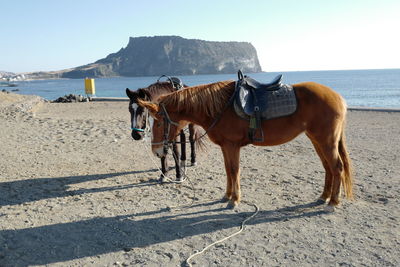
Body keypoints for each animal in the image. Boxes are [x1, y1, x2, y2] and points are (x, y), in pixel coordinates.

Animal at [138, 77, 354, 211]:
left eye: (158, 122)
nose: (157, 151)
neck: (220, 107)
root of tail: (338, 97)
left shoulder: (232, 146)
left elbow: (234, 171)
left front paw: (235, 200)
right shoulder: (226, 147)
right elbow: (228, 170)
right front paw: (227, 196)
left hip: (326, 141)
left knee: (337, 167)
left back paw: (333, 202)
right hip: (317, 140)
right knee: (328, 168)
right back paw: (324, 197)